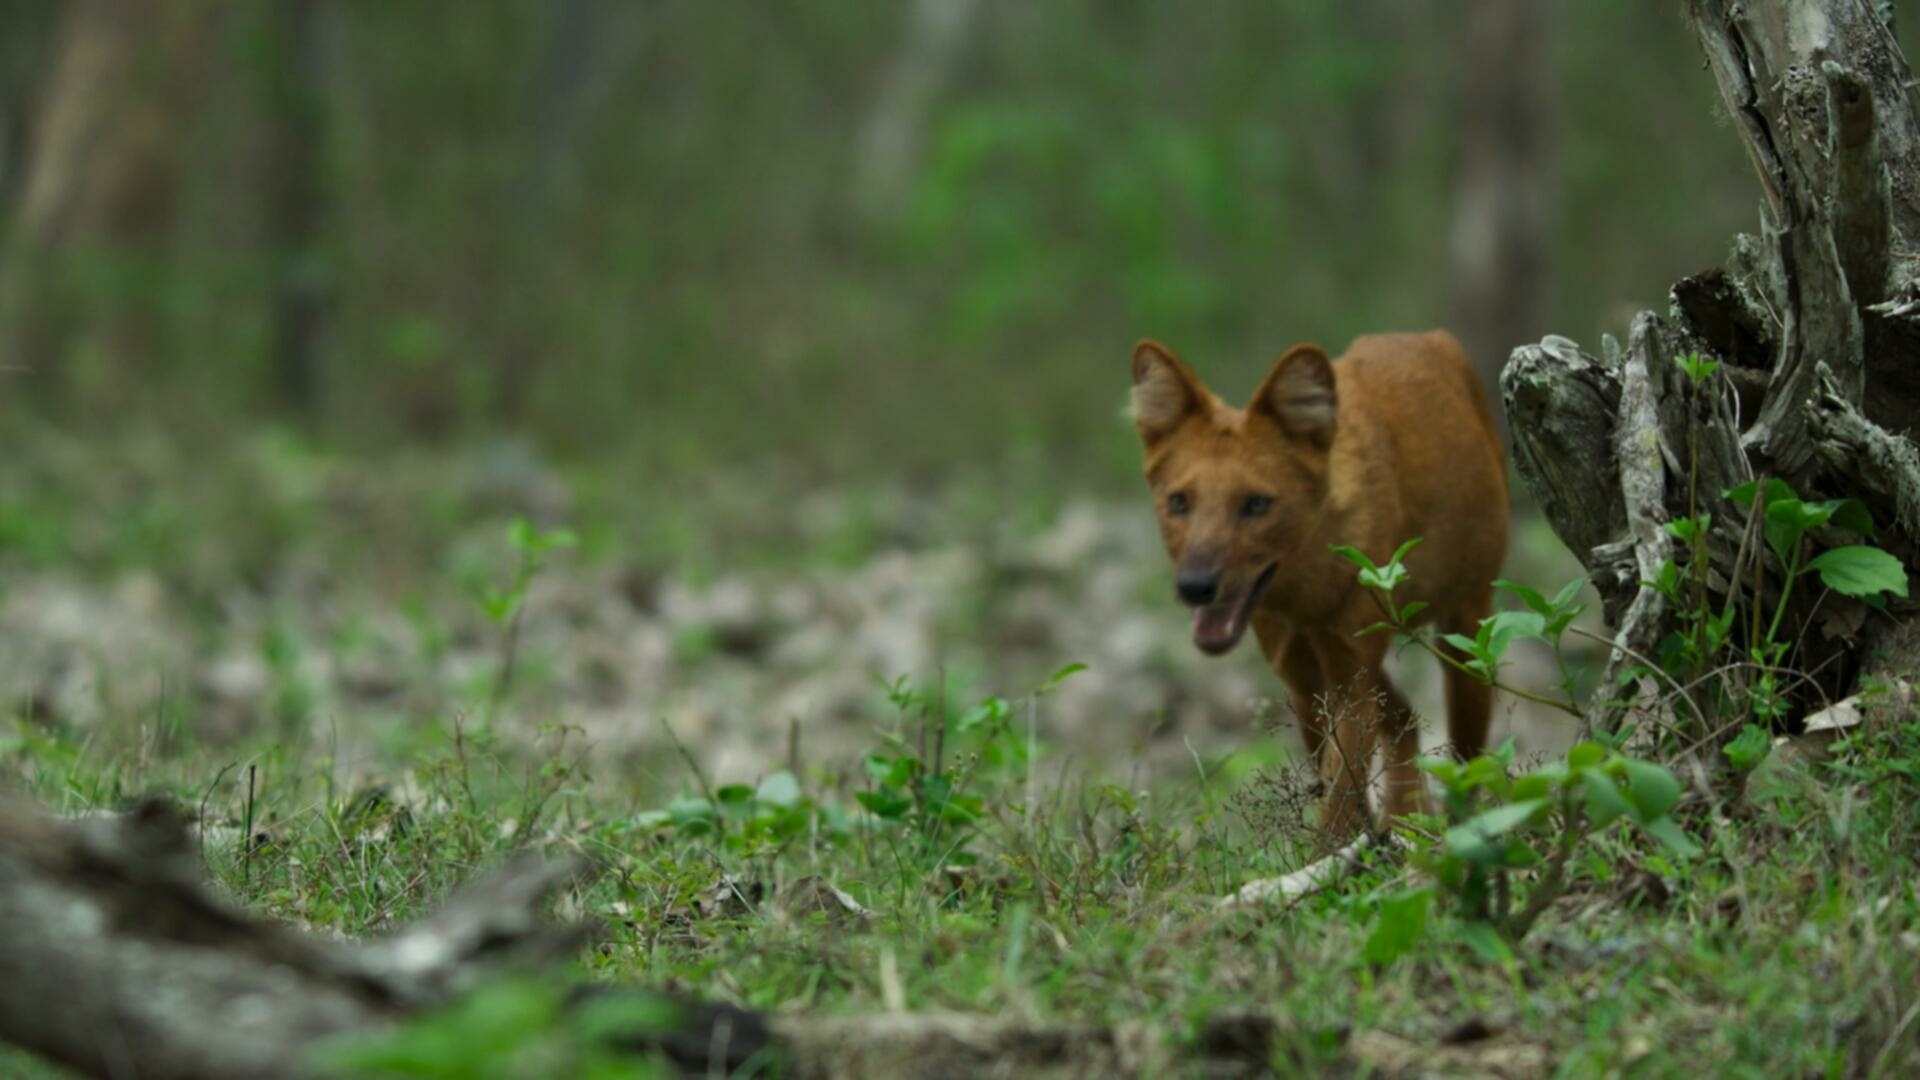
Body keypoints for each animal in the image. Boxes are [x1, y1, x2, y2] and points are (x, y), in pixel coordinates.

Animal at [1121, 332, 1512, 837]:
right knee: (1404, 717)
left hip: (1466, 637)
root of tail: (1430, 338)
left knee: (1464, 763)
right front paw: (1364, 841)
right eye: (1178, 503)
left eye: (1257, 504)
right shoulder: (1302, 678)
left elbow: (1339, 800)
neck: (1305, 597)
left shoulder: (1349, 676)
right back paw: (1403, 820)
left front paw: (1336, 854)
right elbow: (1337, 785)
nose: (1195, 586)